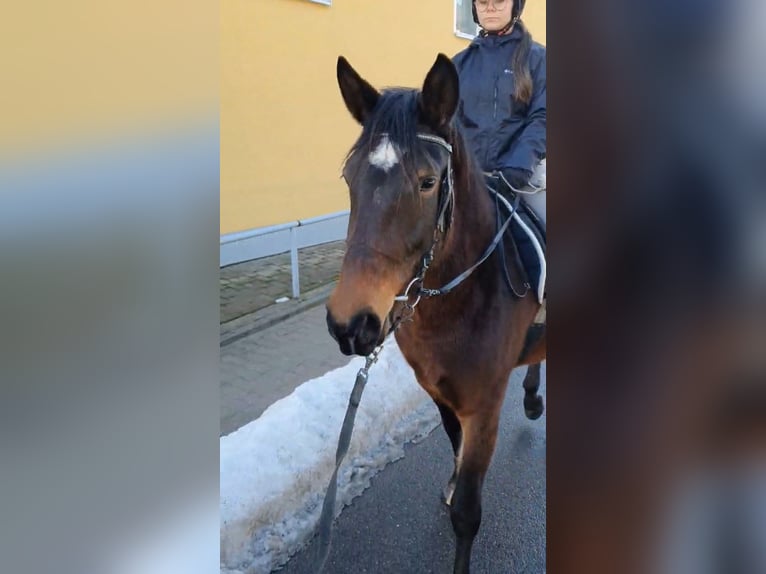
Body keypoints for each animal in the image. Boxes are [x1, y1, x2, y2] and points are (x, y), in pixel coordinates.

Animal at [324, 54, 544, 574]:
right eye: (349, 178)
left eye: (427, 182)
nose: (350, 324)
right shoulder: (439, 390)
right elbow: (452, 442)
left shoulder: (485, 407)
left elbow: (466, 514)